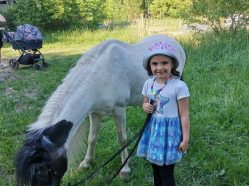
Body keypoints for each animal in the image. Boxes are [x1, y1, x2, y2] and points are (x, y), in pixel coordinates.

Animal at [14, 35, 185, 186]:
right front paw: (86, 163)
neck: (100, 75)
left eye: (42, 170)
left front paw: (125, 170)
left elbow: (122, 139)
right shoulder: (94, 112)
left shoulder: (119, 110)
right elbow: (92, 138)